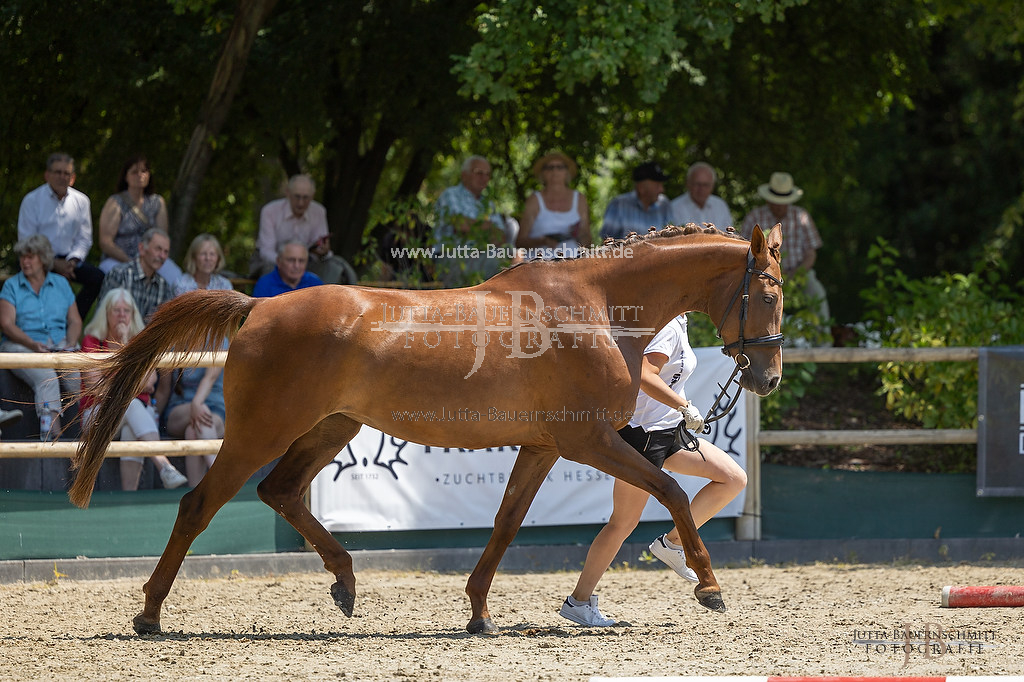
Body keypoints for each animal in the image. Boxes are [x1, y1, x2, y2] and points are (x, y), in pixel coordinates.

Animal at [68, 222, 782, 630]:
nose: (768, 378)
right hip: (259, 432)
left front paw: (478, 612)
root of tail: (258, 307)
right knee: (201, 504)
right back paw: (150, 614)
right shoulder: (589, 440)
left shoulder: (543, 445)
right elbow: (672, 493)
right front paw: (710, 587)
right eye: (771, 293)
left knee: (281, 492)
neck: (598, 307)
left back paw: (345, 581)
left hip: (332, 428)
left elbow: (505, 524)